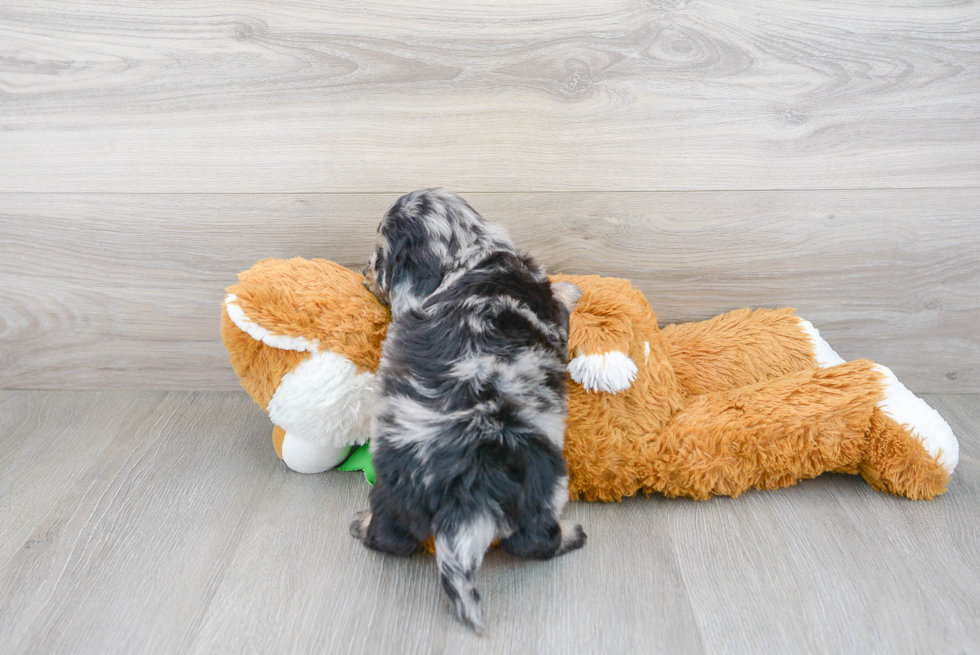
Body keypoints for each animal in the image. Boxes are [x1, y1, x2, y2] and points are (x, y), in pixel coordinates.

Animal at [350, 190, 580, 636]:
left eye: (379, 257)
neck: (468, 255)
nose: (363, 270)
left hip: (394, 485)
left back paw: (362, 523)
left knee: (390, 536)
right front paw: (571, 288)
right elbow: (559, 298)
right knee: (532, 541)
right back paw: (571, 534)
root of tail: (462, 486)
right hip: (544, 482)